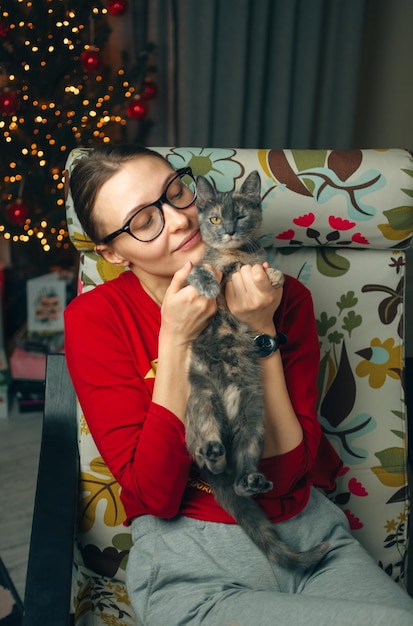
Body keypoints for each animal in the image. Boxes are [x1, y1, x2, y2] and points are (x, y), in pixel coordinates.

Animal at [185, 172, 326, 572]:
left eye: (242, 215)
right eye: (216, 218)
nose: (230, 230)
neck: (234, 257)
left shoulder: (253, 264)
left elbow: (264, 269)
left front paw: (275, 275)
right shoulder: (191, 272)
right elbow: (199, 269)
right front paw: (208, 282)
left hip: (253, 424)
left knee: (237, 473)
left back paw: (250, 481)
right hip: (201, 403)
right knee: (206, 454)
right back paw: (212, 450)